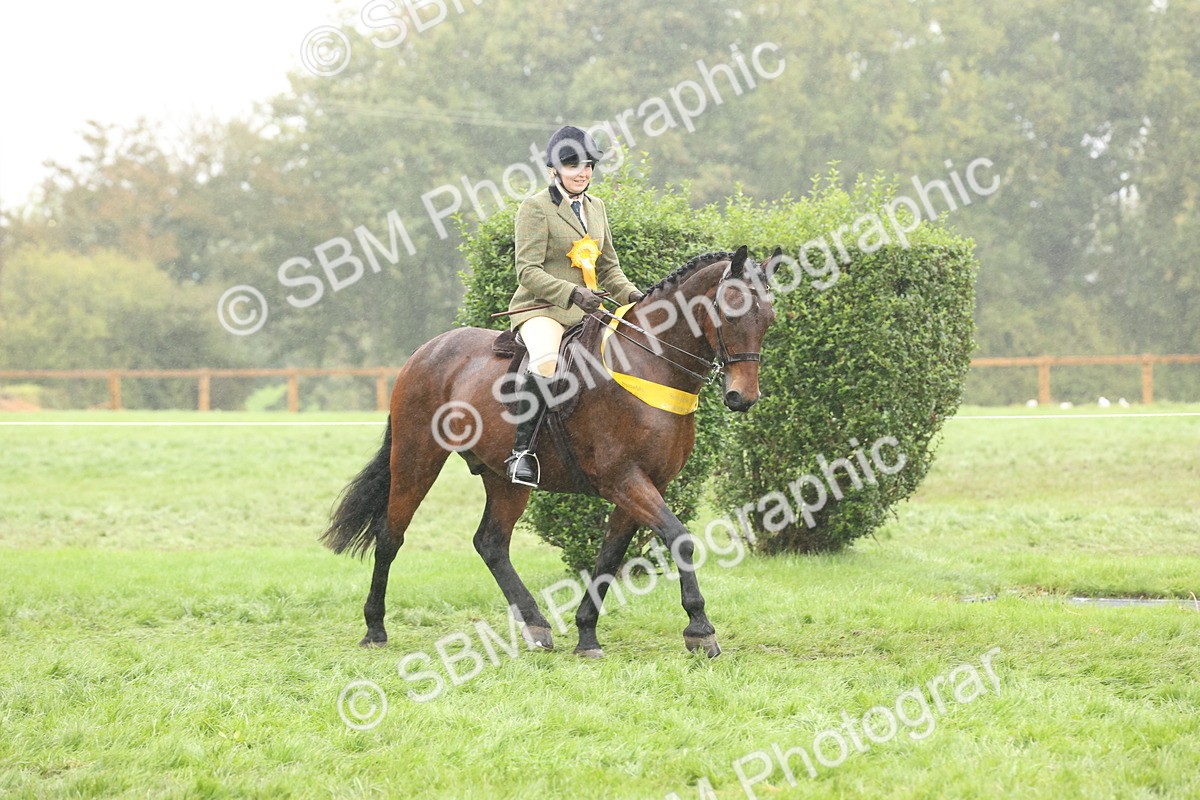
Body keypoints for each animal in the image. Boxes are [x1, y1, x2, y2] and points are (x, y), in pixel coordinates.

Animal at [321, 245, 776, 658]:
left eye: (769, 318)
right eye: (731, 312)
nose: (743, 397)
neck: (649, 365)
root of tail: (426, 351)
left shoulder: (644, 484)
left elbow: (610, 555)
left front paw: (587, 633)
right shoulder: (623, 479)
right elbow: (678, 538)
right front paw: (700, 630)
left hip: (503, 478)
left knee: (490, 542)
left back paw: (536, 626)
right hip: (417, 458)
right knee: (390, 535)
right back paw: (375, 628)